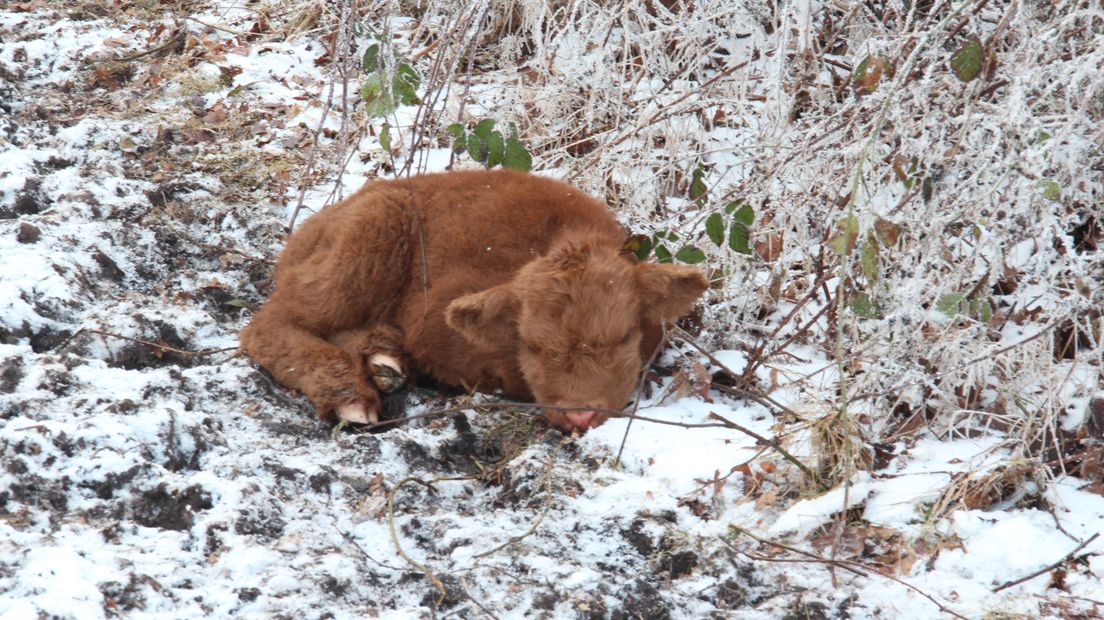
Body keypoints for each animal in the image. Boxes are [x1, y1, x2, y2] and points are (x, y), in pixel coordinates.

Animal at [240, 167, 706, 430]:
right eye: (534, 346)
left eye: (622, 337)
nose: (580, 414)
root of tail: (314, 223)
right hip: (363, 247)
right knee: (268, 325)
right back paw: (349, 394)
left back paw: (383, 359)